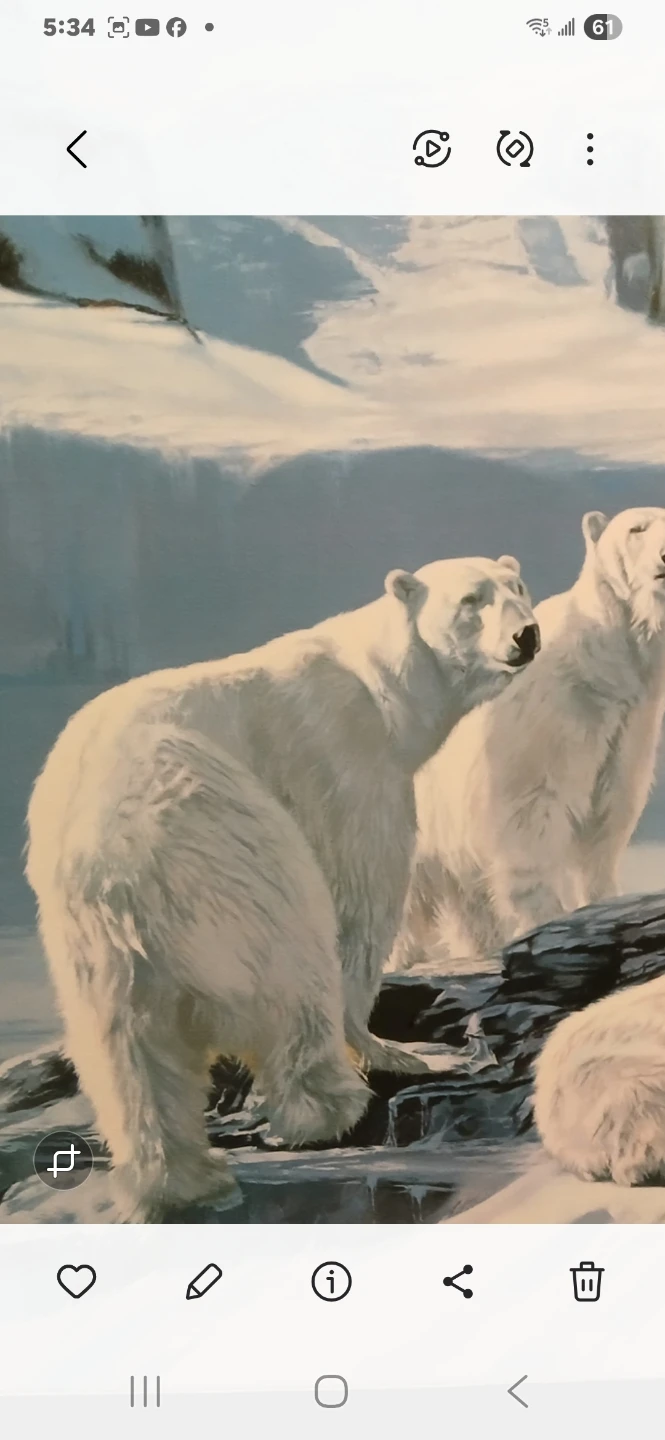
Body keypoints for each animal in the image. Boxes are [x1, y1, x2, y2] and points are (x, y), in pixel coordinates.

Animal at [25, 554, 537, 1221]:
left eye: (517, 587)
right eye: (471, 600)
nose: (526, 635)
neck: (385, 690)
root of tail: (115, 861)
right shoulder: (344, 759)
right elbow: (358, 898)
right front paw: (390, 1048)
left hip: (90, 940)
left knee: (130, 1052)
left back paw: (187, 1179)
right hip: (229, 850)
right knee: (294, 962)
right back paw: (329, 1106)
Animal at [390, 507, 665, 974]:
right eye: (636, 529)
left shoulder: (630, 729)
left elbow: (604, 824)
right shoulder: (542, 731)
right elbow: (532, 825)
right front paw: (547, 922)